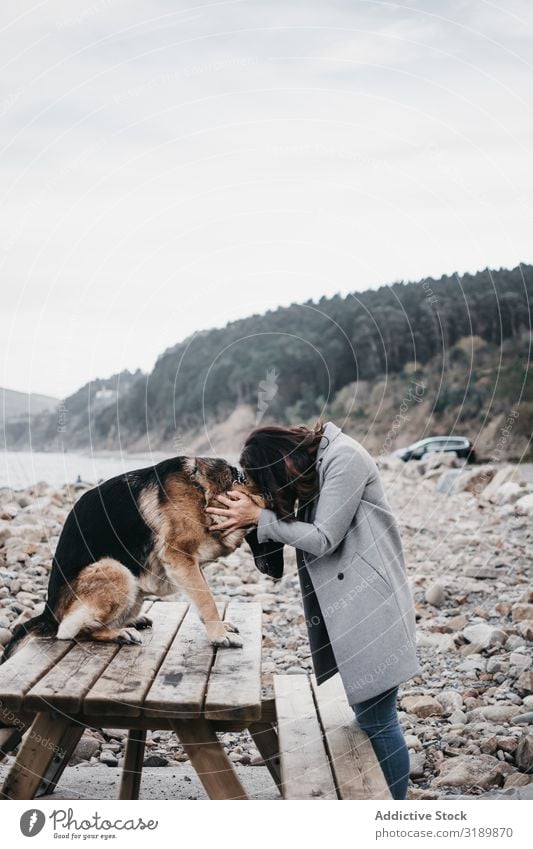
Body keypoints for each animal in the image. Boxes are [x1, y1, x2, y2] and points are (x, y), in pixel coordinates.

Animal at [0, 454, 266, 660]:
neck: (207, 489)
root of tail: (48, 612)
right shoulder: (179, 557)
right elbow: (207, 599)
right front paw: (220, 636)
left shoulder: (190, 564)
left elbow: (202, 596)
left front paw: (220, 625)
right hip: (116, 570)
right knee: (71, 631)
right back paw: (119, 633)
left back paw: (130, 622)